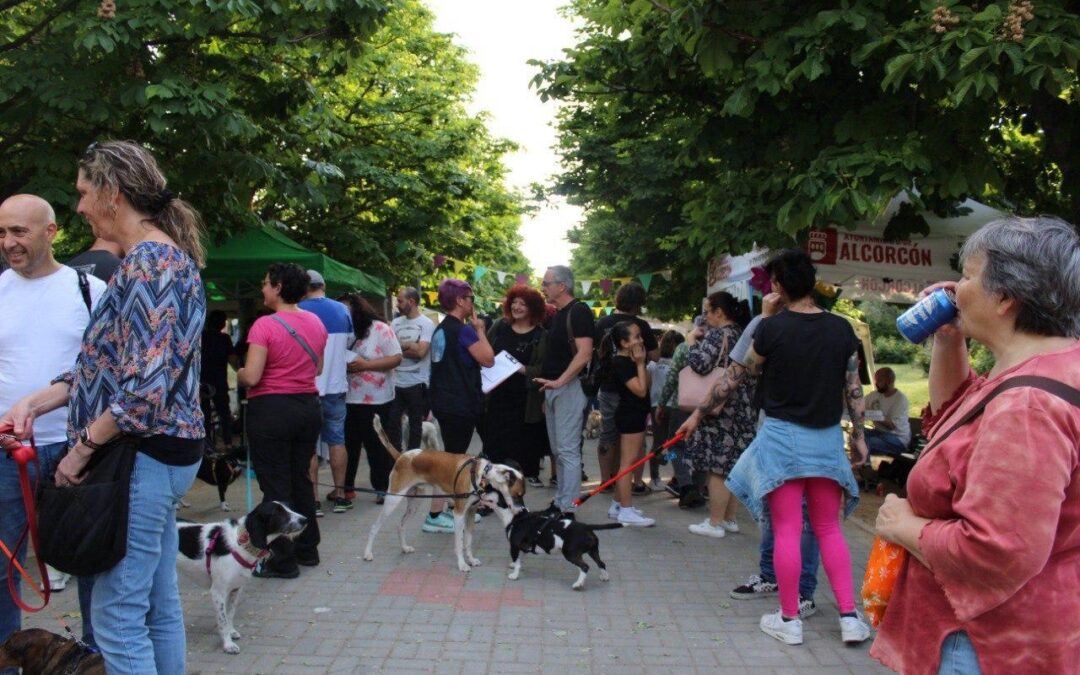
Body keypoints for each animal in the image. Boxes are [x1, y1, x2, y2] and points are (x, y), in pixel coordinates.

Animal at [176, 501, 304, 652]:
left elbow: (230, 614)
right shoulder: (218, 592)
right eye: (277, 512)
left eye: (288, 507)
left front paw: (231, 632)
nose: (305, 519)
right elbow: (222, 620)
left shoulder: (236, 589)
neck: (241, 542)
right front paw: (228, 644)